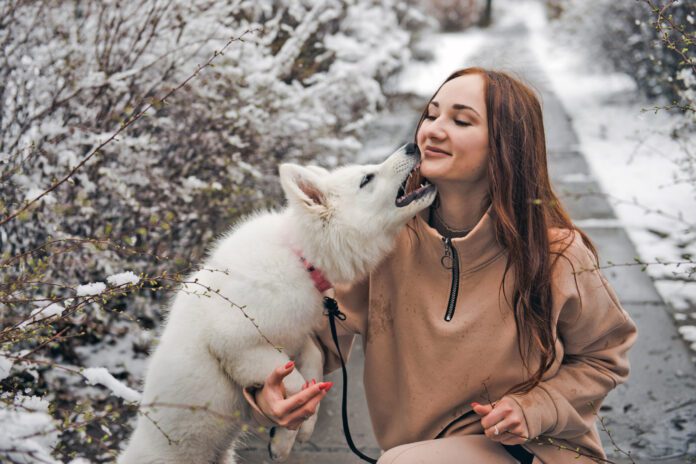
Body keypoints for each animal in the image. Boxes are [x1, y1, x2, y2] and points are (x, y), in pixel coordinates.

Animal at [119, 143, 436, 462]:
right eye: (366, 178)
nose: (412, 146)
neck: (301, 258)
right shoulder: (238, 345)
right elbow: (295, 381)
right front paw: (294, 425)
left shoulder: (297, 336)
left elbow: (314, 361)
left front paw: (295, 432)